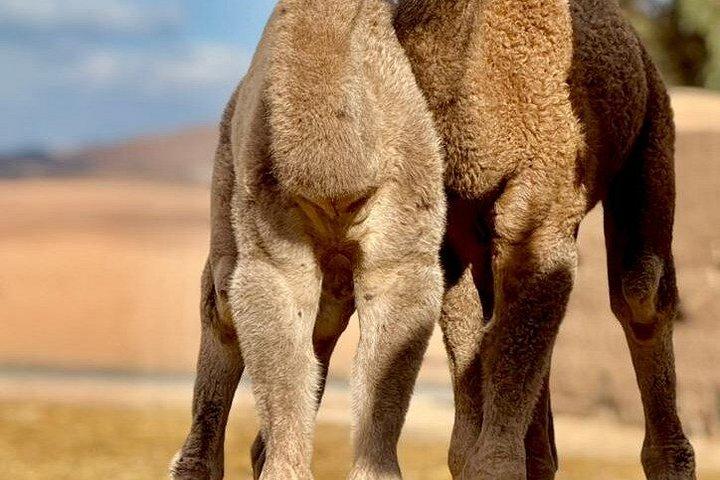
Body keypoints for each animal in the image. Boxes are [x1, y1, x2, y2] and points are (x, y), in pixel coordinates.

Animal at [170, 0, 446, 478]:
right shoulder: (272, 253)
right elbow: (283, 364)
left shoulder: (405, 254)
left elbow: (380, 371)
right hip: (225, 191)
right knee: (221, 311)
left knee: (320, 335)